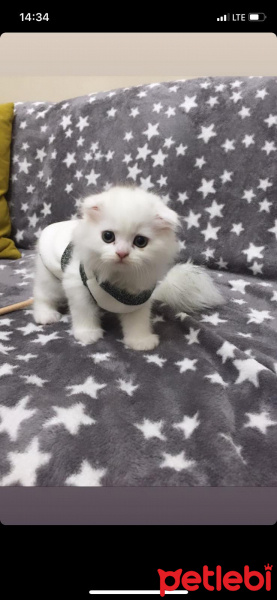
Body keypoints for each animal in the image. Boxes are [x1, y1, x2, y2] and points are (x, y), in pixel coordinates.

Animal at [33, 185, 223, 350]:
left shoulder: (137, 298)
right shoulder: (77, 284)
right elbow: (84, 312)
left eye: (140, 241)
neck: (118, 277)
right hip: (51, 280)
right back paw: (46, 316)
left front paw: (141, 341)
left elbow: (137, 322)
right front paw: (87, 334)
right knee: (42, 296)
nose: (122, 253)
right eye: (107, 236)